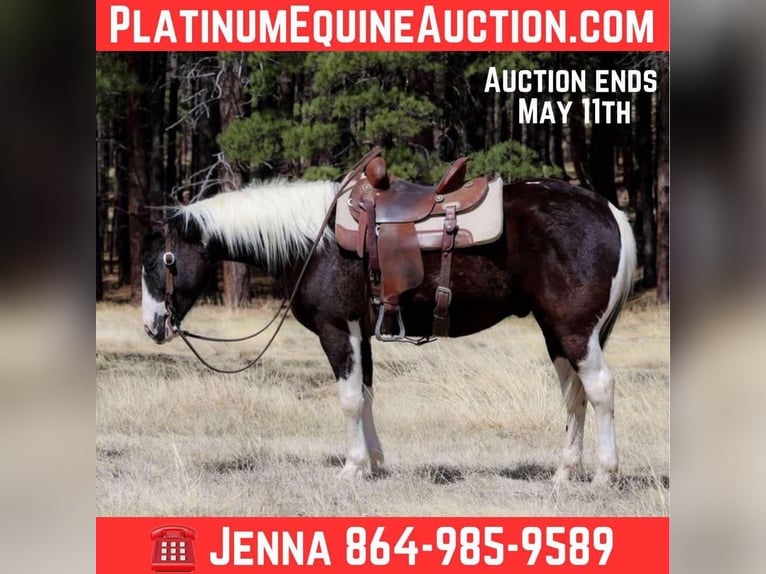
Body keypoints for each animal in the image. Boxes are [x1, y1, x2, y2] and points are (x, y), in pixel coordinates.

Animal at [141, 173, 636, 487]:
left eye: (157, 261)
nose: (152, 327)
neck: (314, 240)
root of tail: (609, 210)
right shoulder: (360, 333)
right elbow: (366, 394)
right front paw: (374, 464)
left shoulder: (335, 330)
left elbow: (348, 398)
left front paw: (352, 467)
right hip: (557, 332)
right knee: (573, 394)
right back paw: (565, 472)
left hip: (574, 331)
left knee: (600, 389)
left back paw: (604, 474)